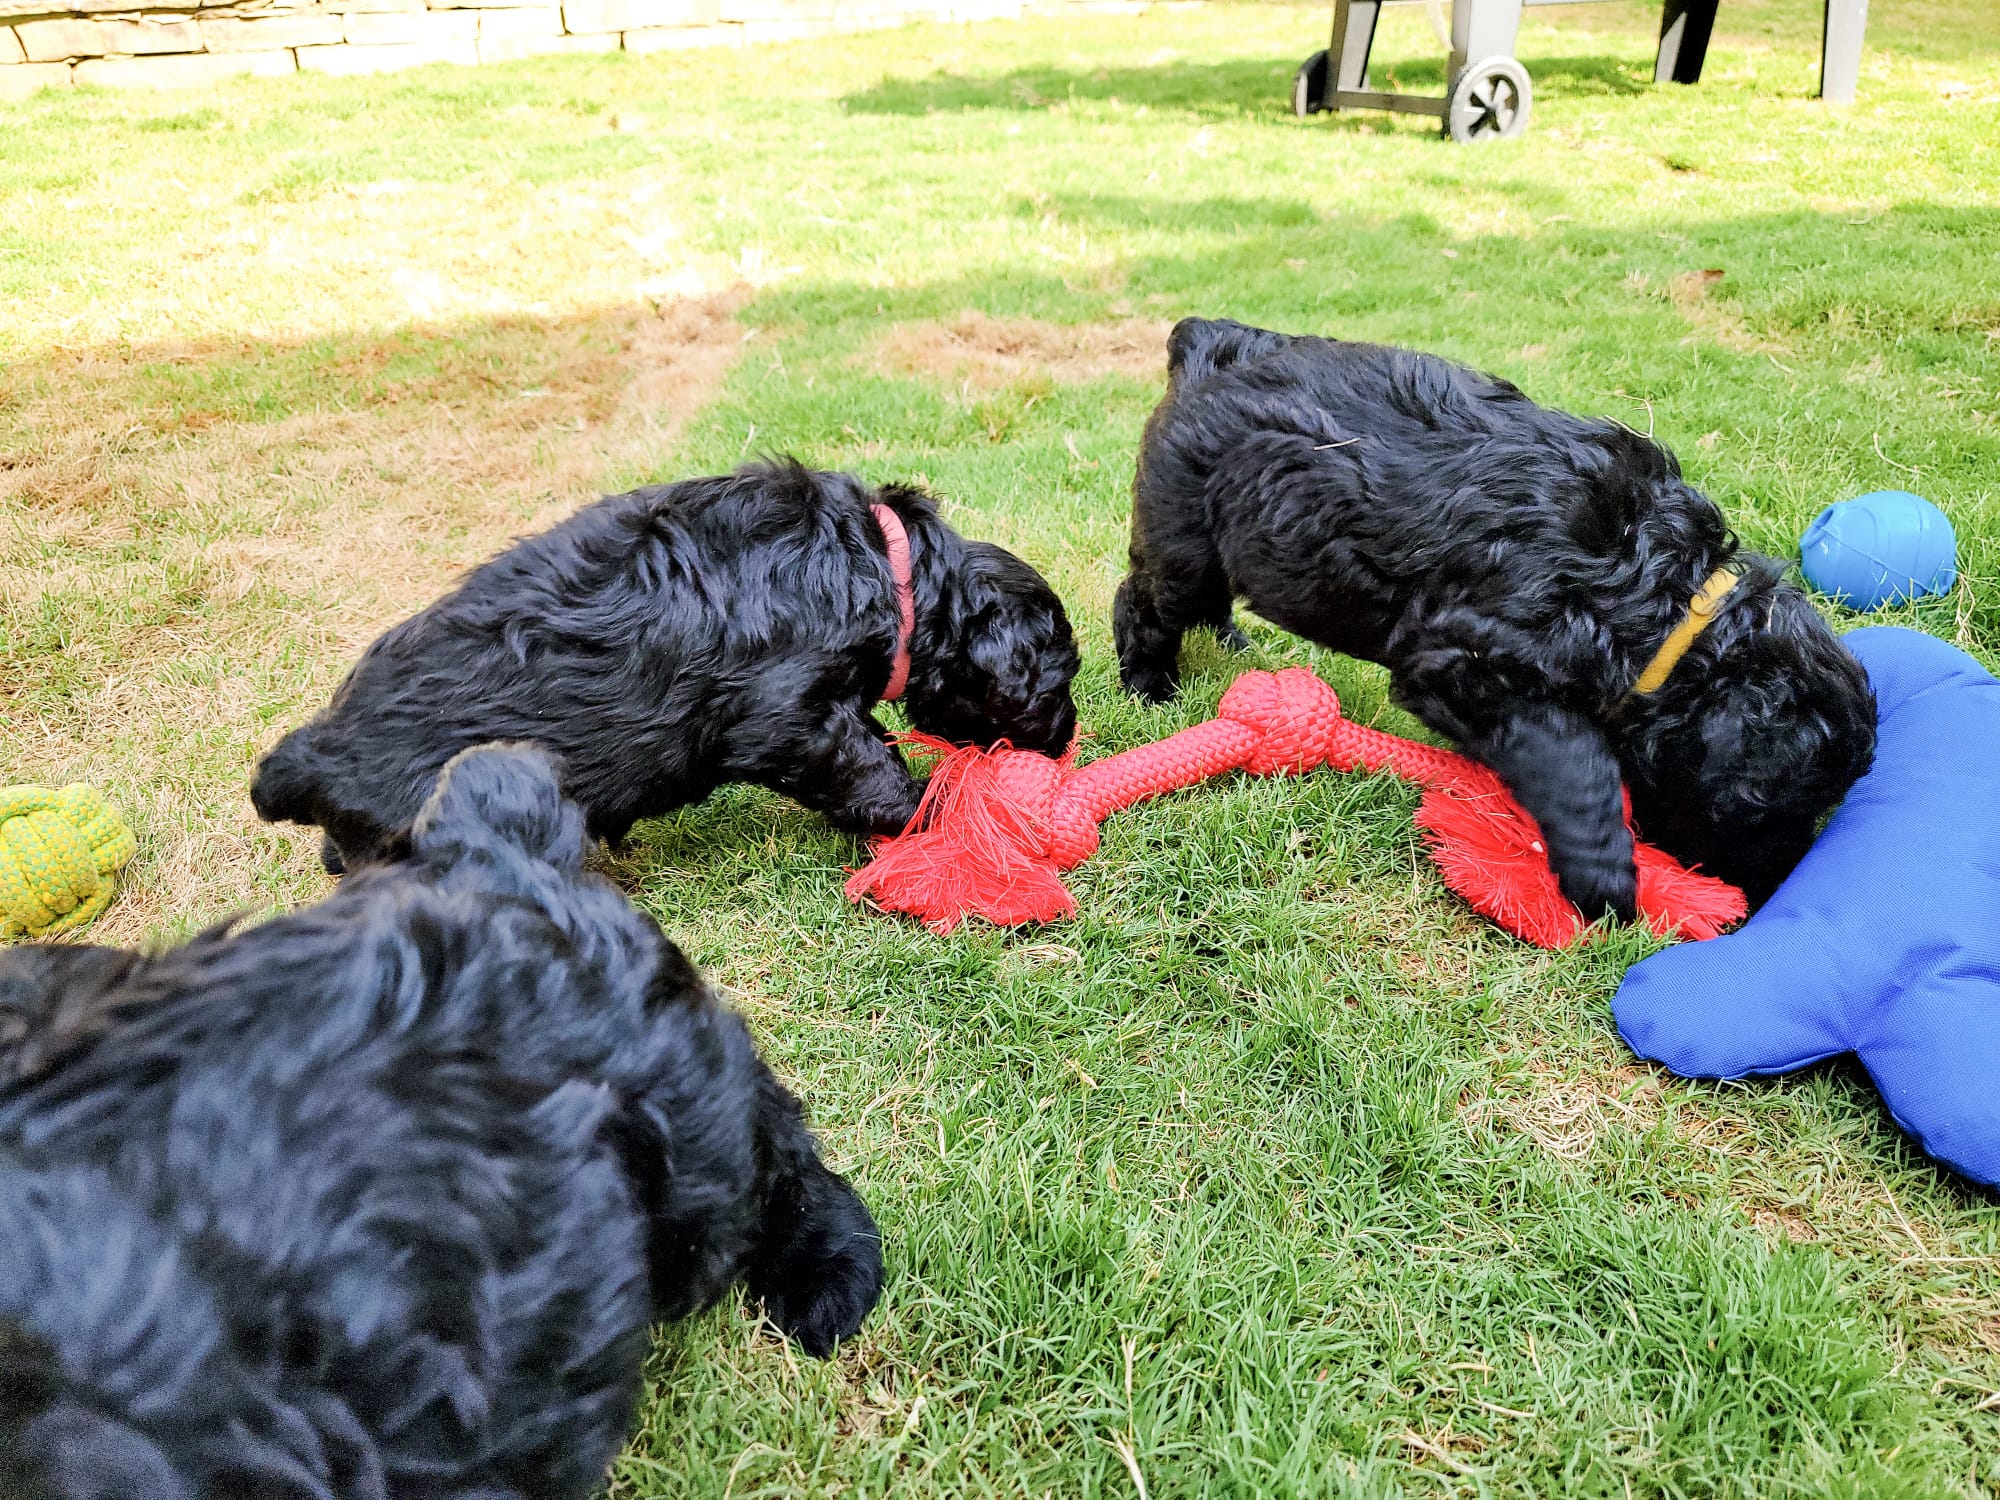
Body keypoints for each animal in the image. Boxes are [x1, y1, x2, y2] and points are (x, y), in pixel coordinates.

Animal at [252, 460, 1079, 874]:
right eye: (1062, 677)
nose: (1070, 740)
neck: (885, 565)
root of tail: (308, 757)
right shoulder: (790, 714)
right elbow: (862, 766)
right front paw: (931, 811)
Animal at [1114, 318, 1876, 915]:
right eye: (1765, 811)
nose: (1762, 896)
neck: (1666, 605)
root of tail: (1211, 343)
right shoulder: (1468, 658)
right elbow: (1578, 759)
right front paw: (1604, 876)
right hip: (1184, 534)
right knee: (1144, 599)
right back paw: (1150, 685)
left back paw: (1232, 640)